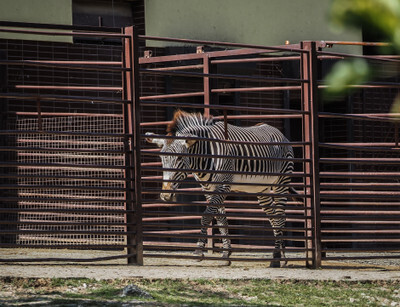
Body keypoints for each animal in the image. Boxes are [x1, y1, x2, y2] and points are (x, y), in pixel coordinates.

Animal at [145, 110, 296, 268]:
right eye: (162, 158)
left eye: (180, 158)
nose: (166, 196)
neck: (205, 155)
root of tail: (280, 134)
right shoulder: (208, 188)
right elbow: (221, 219)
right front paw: (226, 254)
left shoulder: (223, 185)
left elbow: (206, 216)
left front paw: (198, 251)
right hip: (261, 189)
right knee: (274, 218)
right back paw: (282, 256)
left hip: (282, 182)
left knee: (280, 217)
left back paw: (276, 258)